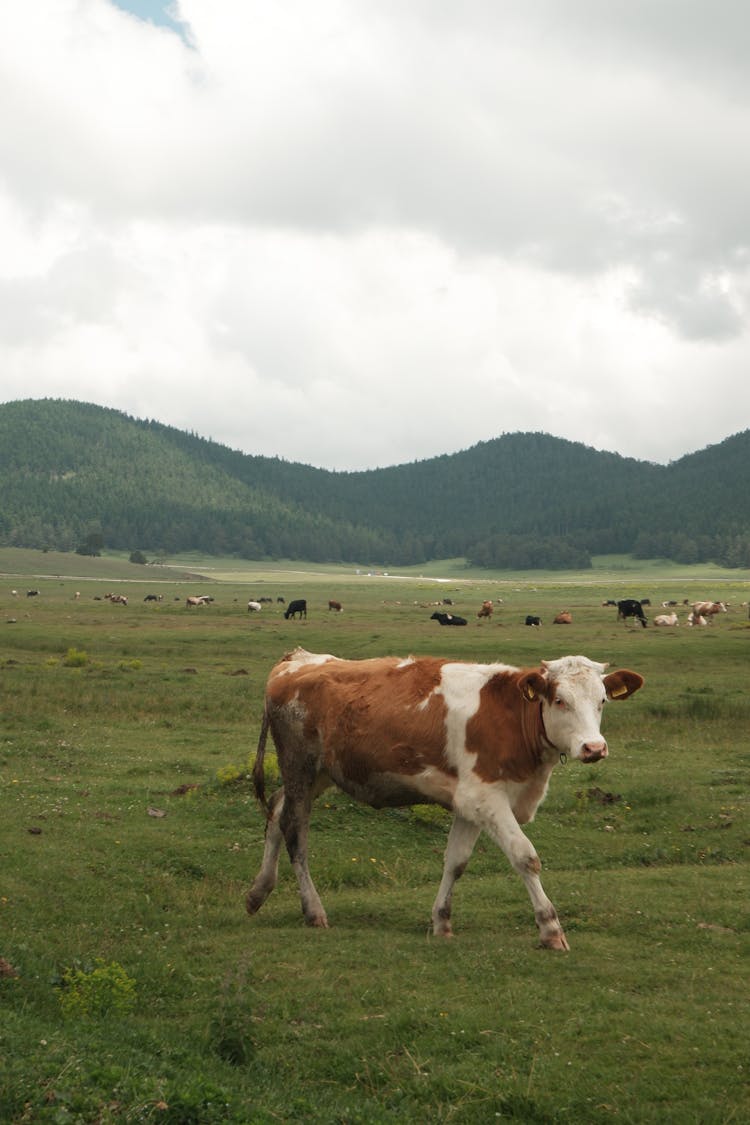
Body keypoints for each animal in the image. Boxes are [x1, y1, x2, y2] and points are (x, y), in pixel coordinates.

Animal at [247, 652, 647, 949]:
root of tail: (297, 660)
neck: (511, 716)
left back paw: (258, 891)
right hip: (299, 766)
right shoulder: (486, 797)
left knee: (277, 811)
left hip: (319, 773)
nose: (594, 748)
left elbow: (456, 861)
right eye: (560, 701)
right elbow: (525, 857)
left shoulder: (470, 803)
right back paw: (313, 911)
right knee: (294, 832)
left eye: (602, 701)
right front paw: (550, 929)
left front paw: (441, 921)